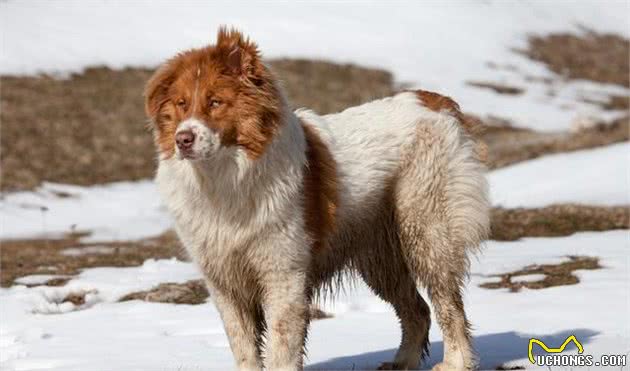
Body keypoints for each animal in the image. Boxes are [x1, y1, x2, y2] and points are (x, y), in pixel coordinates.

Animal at [146, 27, 492, 370]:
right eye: (181, 104)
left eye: (215, 102)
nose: (182, 139)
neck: (227, 179)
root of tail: (435, 101)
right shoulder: (224, 282)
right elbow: (244, 347)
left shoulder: (283, 275)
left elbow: (281, 347)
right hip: (381, 258)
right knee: (417, 310)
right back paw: (402, 362)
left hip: (427, 232)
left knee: (448, 305)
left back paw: (455, 363)